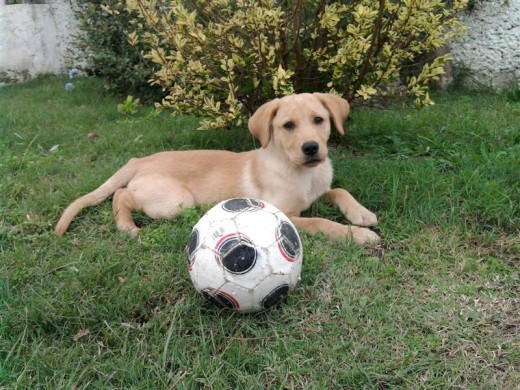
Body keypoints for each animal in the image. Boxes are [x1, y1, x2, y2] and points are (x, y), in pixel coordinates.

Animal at [54, 93, 380, 244]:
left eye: (319, 120)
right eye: (288, 126)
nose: (311, 148)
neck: (301, 172)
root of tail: (140, 160)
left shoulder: (319, 191)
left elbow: (338, 190)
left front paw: (361, 214)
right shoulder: (284, 213)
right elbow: (320, 222)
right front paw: (358, 235)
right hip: (176, 200)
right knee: (121, 194)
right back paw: (126, 225)